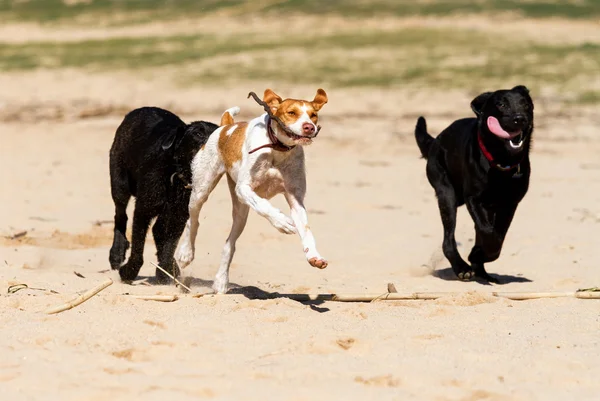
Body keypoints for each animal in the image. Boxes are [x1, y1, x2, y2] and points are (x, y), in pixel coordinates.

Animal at [109, 106, 218, 282]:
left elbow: (169, 244)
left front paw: (165, 271)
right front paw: (130, 271)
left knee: (158, 229)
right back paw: (116, 253)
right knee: (120, 215)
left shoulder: (179, 215)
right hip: (120, 185)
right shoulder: (143, 210)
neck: (175, 173)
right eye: (198, 133)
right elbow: (138, 245)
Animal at [176, 88, 330, 290]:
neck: (277, 150)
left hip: (240, 214)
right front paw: (282, 222)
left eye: (314, 115)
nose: (309, 127)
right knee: (192, 221)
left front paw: (314, 256)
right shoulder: (244, 189)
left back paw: (220, 281)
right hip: (201, 189)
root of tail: (225, 127)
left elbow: (306, 229)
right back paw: (185, 253)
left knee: (229, 244)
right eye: (291, 112)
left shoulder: (295, 198)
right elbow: (264, 206)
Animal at [412, 85, 536, 282]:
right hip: (446, 194)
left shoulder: (510, 204)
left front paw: (479, 255)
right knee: (448, 240)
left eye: (525, 104)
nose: (519, 119)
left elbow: (498, 236)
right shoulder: (474, 199)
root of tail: (436, 141)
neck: (501, 160)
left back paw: (482, 272)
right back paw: (462, 268)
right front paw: (475, 255)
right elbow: (488, 232)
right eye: (501, 104)